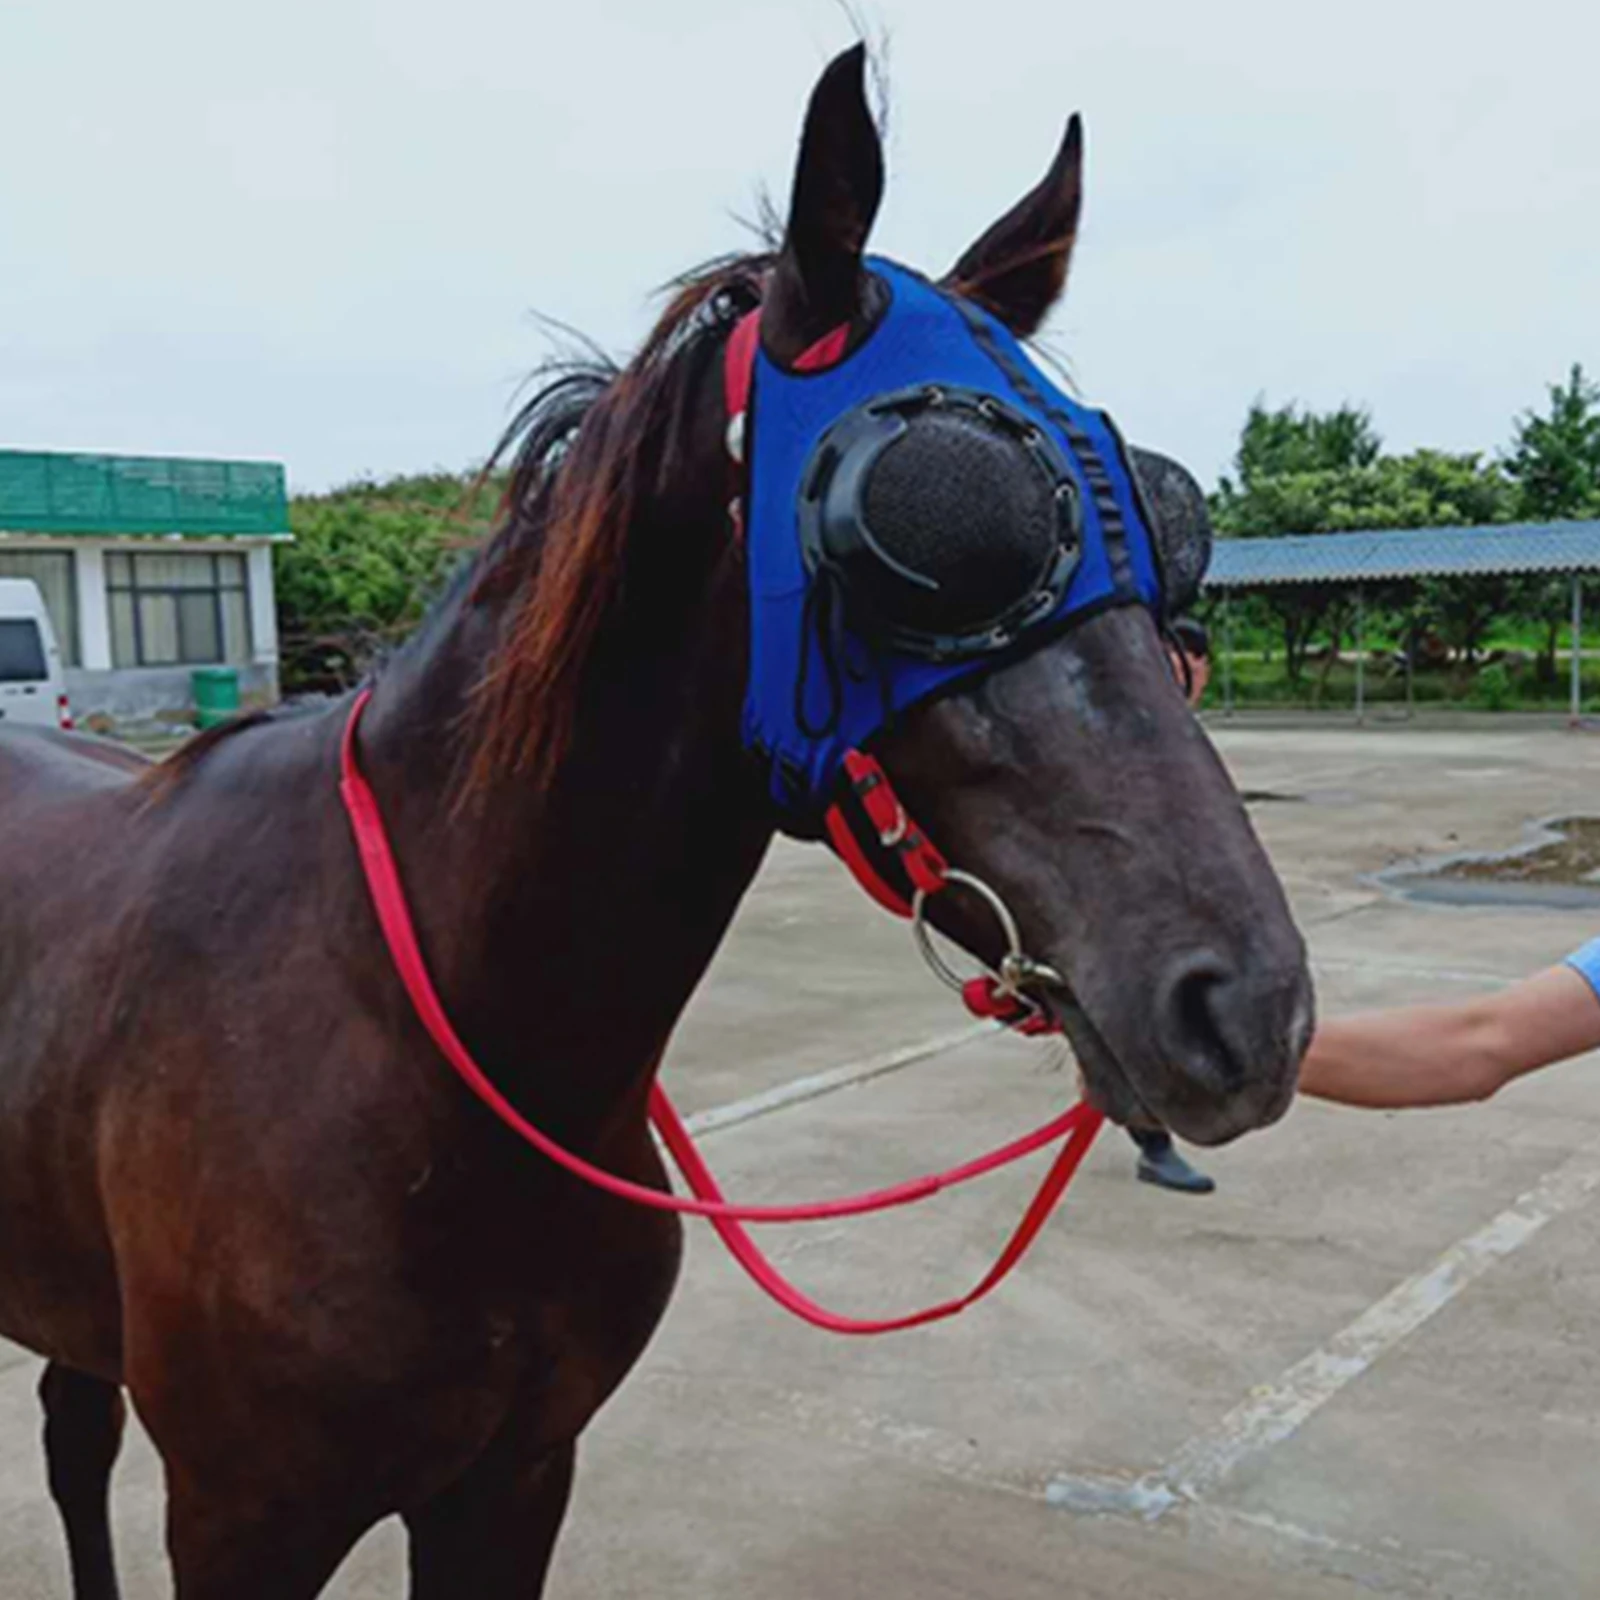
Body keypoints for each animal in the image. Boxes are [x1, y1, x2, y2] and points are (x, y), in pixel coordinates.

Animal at [0, 50, 1312, 1600]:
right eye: (933, 519)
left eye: (1161, 517)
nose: (1248, 1006)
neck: (434, 1039)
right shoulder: (241, 1519)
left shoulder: (513, 1479)